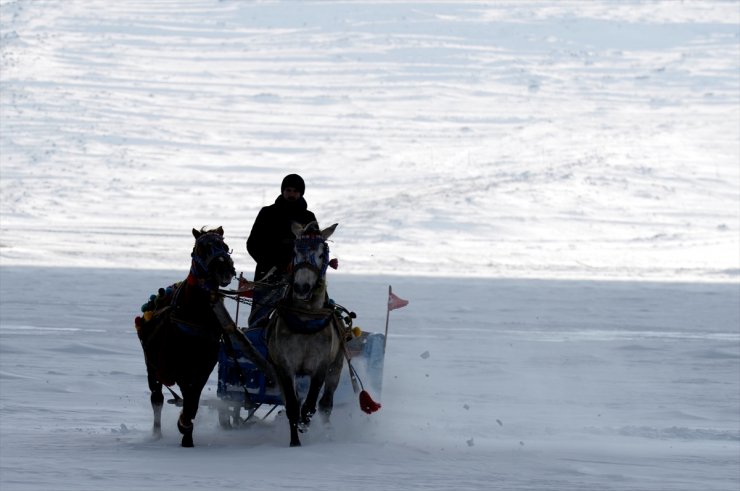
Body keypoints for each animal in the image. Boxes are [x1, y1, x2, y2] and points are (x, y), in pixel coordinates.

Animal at [137, 229, 268, 448]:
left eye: (225, 247)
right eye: (201, 248)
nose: (225, 269)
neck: (194, 316)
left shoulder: (203, 368)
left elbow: (193, 401)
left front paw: (186, 431)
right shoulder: (179, 367)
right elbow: (186, 397)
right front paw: (184, 427)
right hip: (152, 367)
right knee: (157, 398)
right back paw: (156, 434)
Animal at [268, 221, 346, 448]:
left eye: (321, 254)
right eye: (294, 252)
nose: (302, 287)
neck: (305, 319)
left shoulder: (321, 365)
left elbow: (311, 405)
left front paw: (305, 423)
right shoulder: (285, 366)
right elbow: (293, 407)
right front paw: (295, 442)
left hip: (336, 366)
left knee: (326, 403)